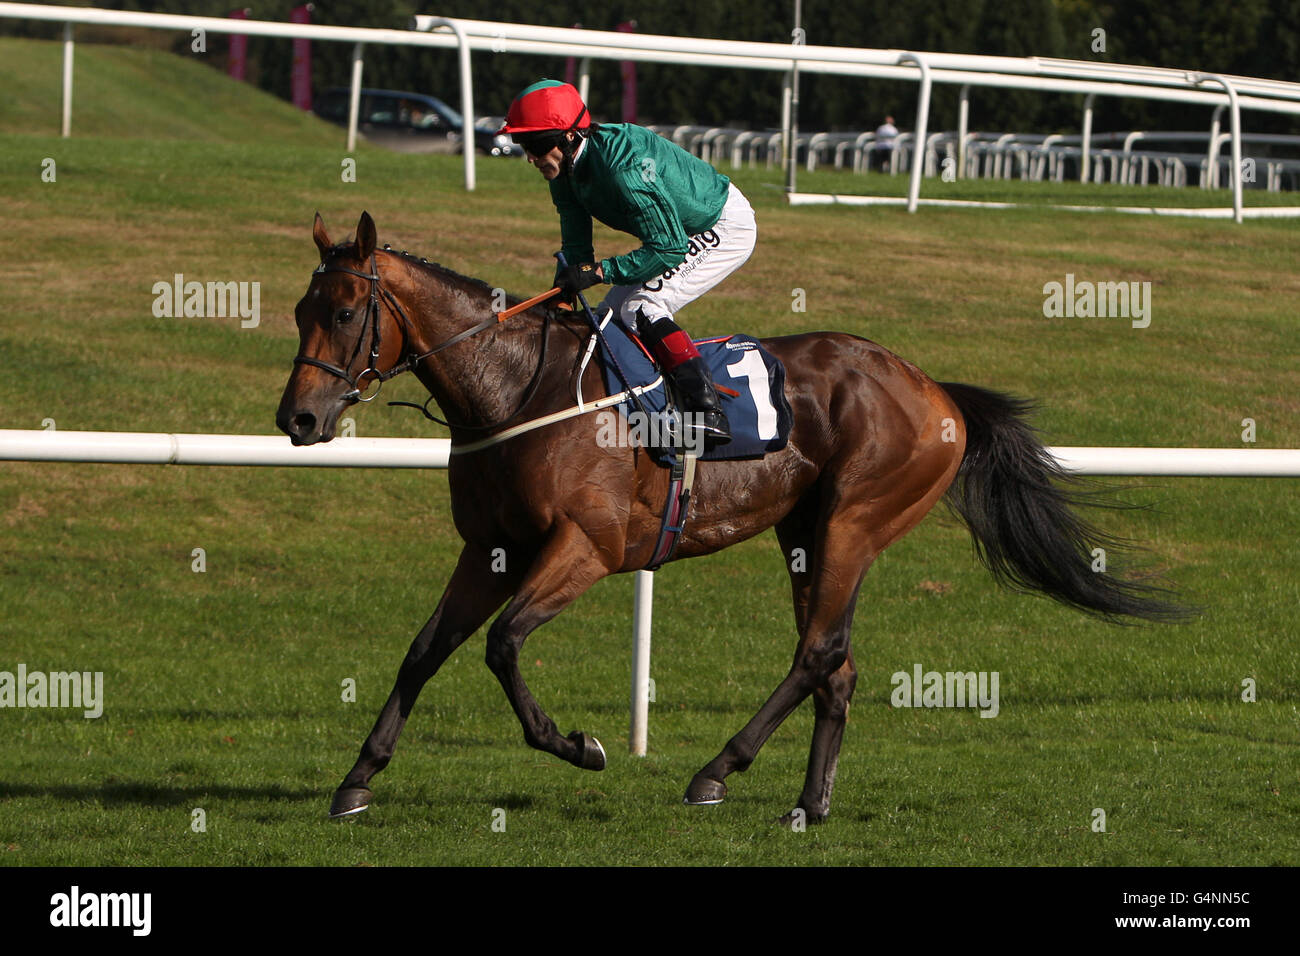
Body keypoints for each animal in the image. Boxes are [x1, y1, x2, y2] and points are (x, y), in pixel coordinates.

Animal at [276, 213, 1190, 827]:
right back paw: (808, 804)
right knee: (837, 666)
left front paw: (579, 745)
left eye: (349, 311)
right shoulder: (490, 548)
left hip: (855, 520)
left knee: (817, 652)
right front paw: (357, 780)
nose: (298, 418)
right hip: (805, 532)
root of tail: (937, 391)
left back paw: (717, 769)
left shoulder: (587, 546)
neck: (516, 392)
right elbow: (425, 650)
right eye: (297, 310)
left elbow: (502, 646)